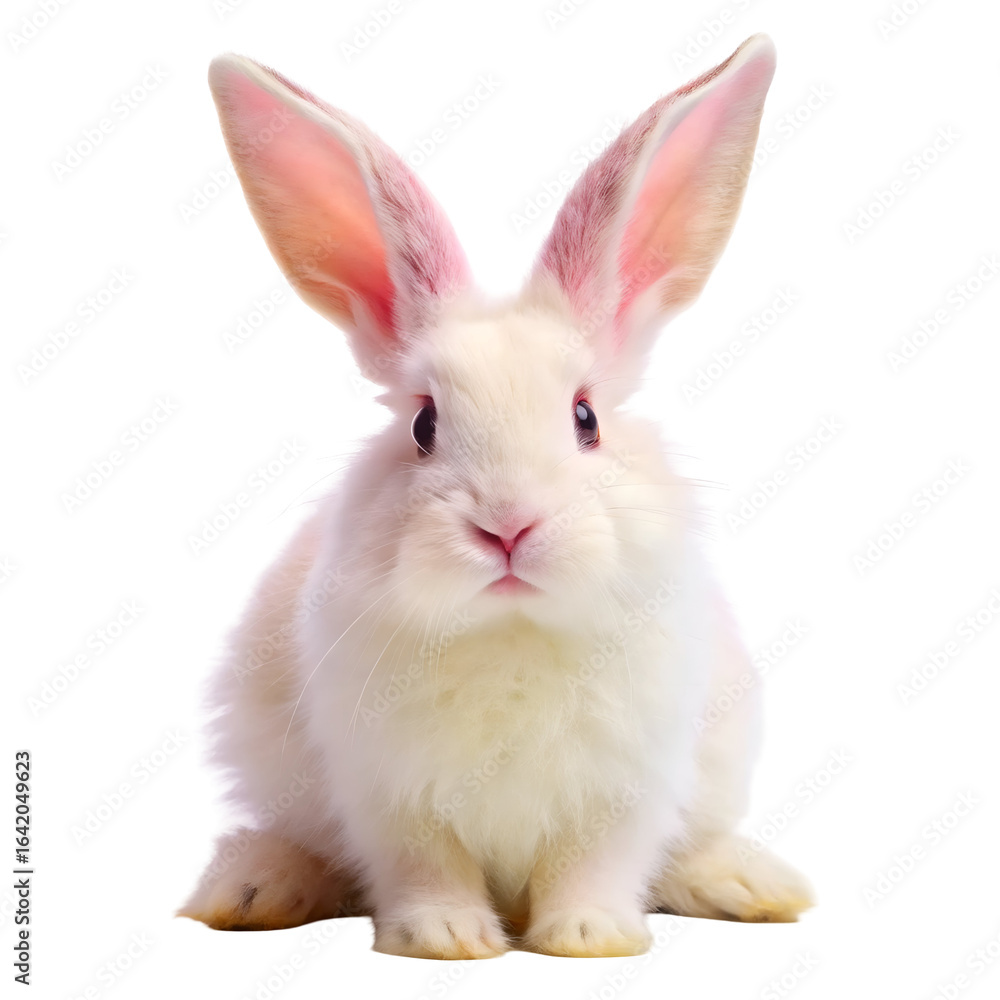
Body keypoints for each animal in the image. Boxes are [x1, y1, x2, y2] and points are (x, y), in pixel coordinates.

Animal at [179, 33, 814, 959]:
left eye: (586, 418)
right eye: (423, 424)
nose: (508, 527)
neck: (509, 628)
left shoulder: (625, 787)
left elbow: (595, 863)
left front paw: (588, 936)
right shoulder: (390, 794)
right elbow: (425, 867)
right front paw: (444, 938)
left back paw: (751, 886)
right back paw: (253, 890)